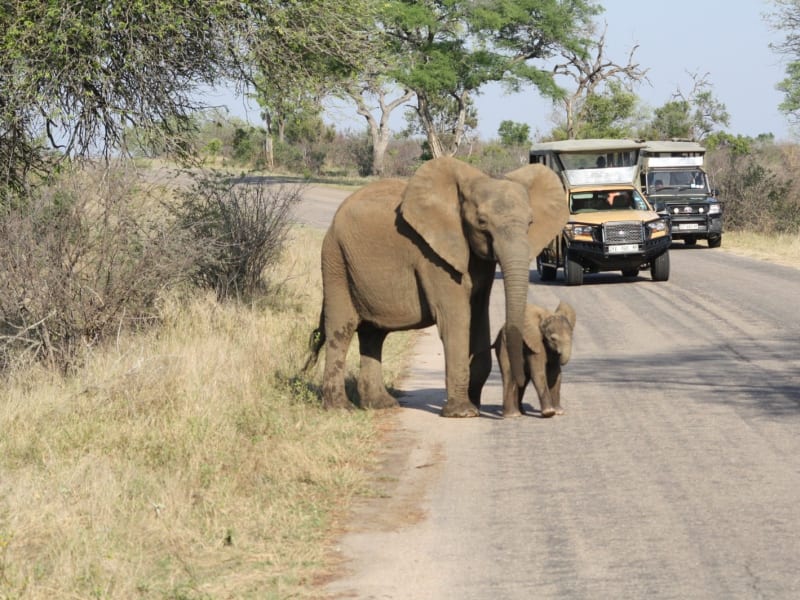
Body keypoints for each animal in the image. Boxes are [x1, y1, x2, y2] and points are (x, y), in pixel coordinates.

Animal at [304, 156, 564, 418]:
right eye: (481, 223)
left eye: (530, 222)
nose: (521, 382)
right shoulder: (432, 256)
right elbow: (456, 318)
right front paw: (464, 413)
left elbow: (479, 316)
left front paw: (475, 405)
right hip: (336, 260)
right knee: (342, 328)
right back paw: (340, 409)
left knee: (373, 334)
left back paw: (380, 404)